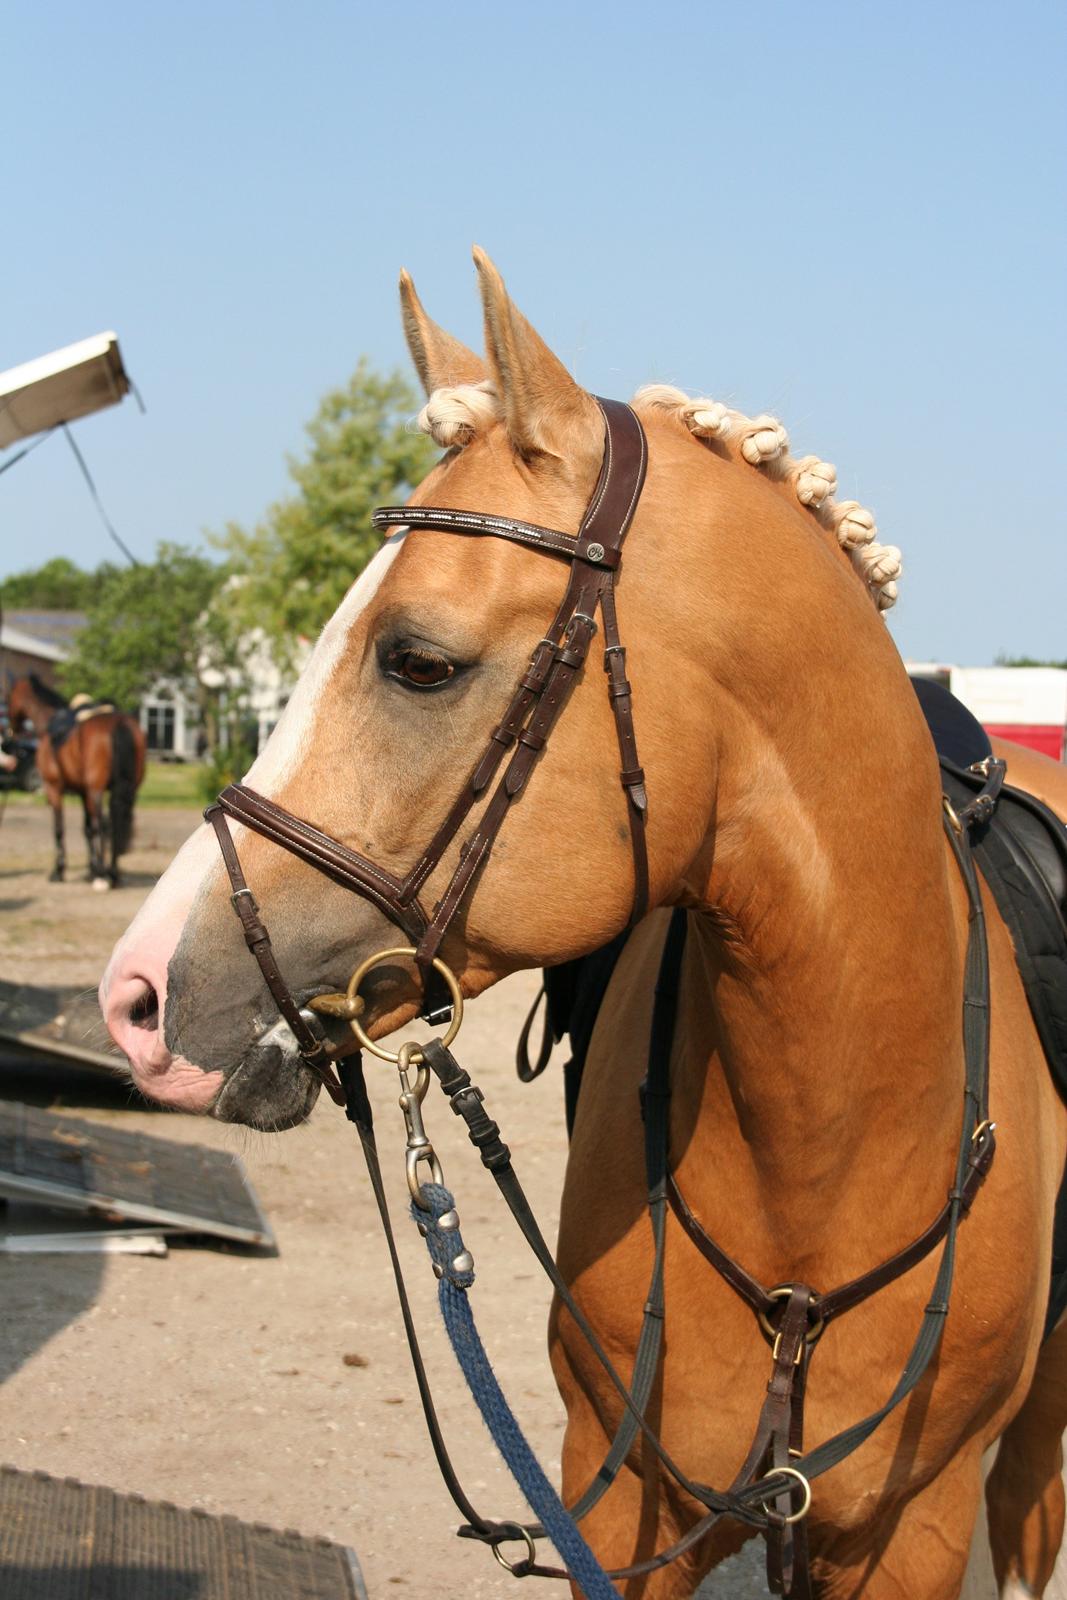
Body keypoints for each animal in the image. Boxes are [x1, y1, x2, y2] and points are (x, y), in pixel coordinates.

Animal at [8, 672, 147, 889]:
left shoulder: (53, 788)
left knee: (104, 824)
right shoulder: (82, 791)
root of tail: (120, 723)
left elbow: (60, 828)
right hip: (129, 787)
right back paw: (112, 873)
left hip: (96, 788)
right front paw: (91, 870)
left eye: (9, 696)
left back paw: (104, 875)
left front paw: (59, 871)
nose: (12, 731)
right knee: (116, 822)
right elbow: (87, 828)